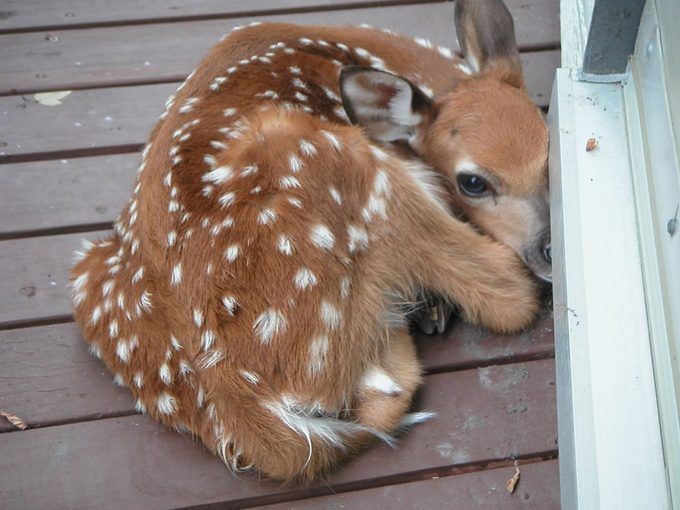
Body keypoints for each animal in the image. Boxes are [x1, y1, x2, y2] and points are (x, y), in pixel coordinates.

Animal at [70, 0, 550, 482]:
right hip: (341, 162)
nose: (550, 249)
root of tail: (226, 389)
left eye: (552, 152)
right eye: (472, 182)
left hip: (88, 271)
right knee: (504, 297)